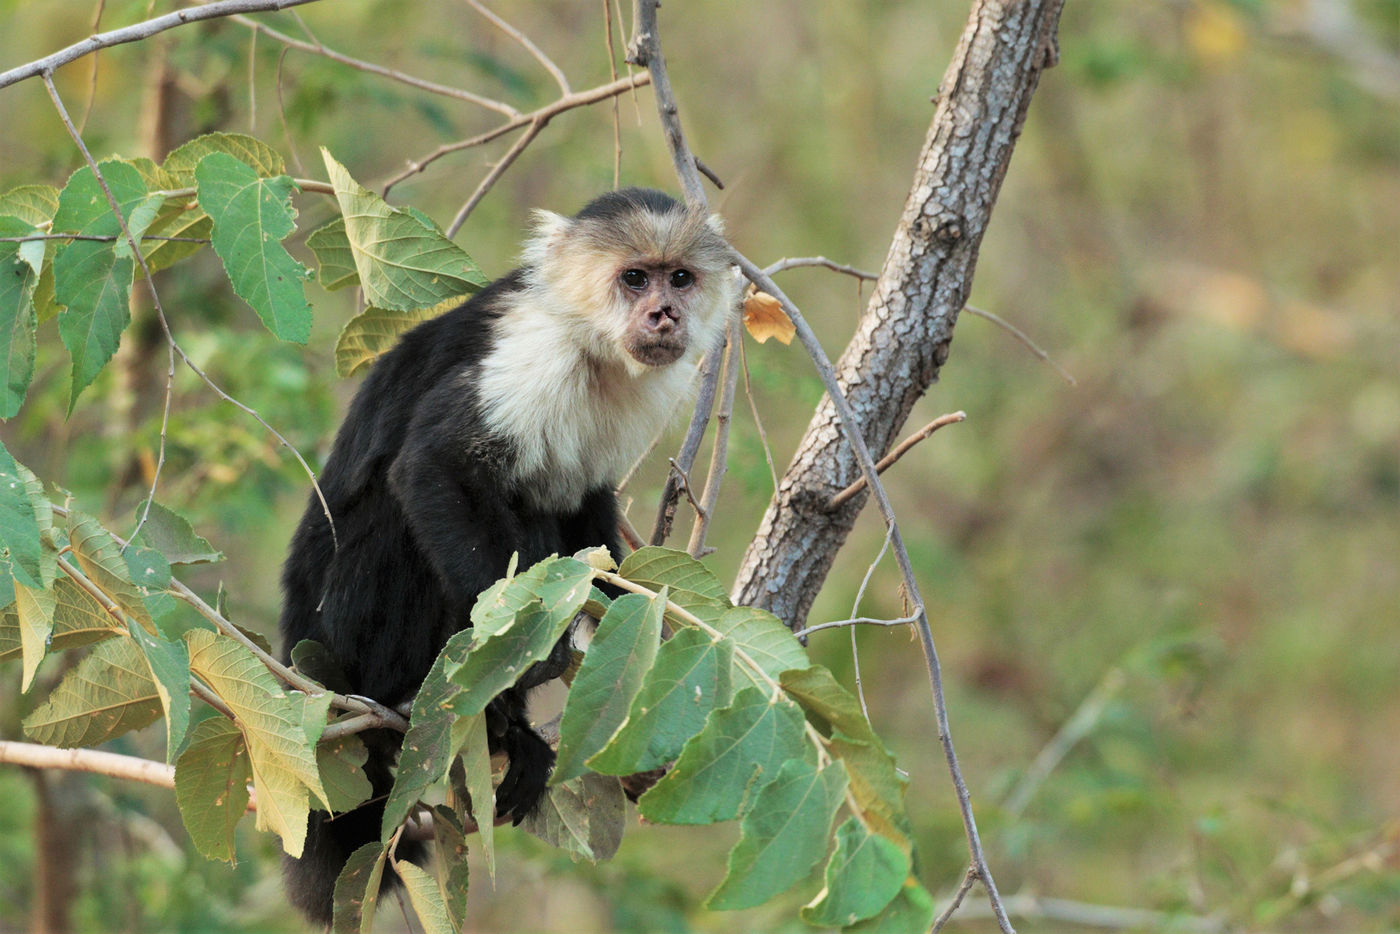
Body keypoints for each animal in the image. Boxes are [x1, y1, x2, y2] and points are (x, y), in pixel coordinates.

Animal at [273, 186, 733, 924]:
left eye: (681, 278)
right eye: (636, 278)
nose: (665, 312)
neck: (591, 346)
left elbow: (587, 515)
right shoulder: (532, 352)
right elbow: (433, 466)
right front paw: (529, 644)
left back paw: (508, 730)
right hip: (349, 630)